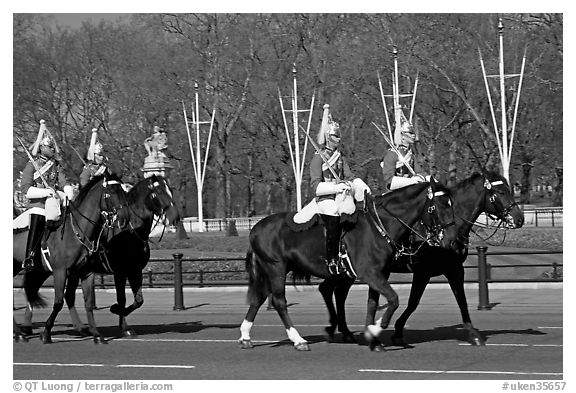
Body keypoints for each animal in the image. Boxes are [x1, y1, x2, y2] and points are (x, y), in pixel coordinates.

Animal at [13, 175, 129, 344]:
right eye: (111, 191)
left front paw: (96, 334)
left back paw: (20, 332)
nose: (125, 218)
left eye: (122, 190)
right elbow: (58, 302)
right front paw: (46, 333)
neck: (76, 232)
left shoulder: (86, 272)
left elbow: (87, 303)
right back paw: (19, 332)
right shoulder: (60, 271)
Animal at [235, 179, 460, 350]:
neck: (379, 226)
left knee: (260, 298)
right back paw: (298, 340)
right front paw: (375, 330)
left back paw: (245, 336)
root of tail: (255, 228)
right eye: (441, 205)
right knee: (279, 301)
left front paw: (373, 337)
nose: (452, 240)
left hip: (274, 269)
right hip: (276, 268)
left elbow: (373, 303)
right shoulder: (371, 274)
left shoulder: (380, 274)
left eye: (452, 203)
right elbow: (394, 299)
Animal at [318, 170, 524, 348]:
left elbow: (460, 300)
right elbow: (414, 302)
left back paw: (339, 329)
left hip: (347, 272)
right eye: (501, 192)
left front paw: (473, 333)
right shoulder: (425, 272)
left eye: (509, 189)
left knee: (332, 291)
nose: (519, 219)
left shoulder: (454, 269)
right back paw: (341, 330)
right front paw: (397, 331)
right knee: (336, 292)